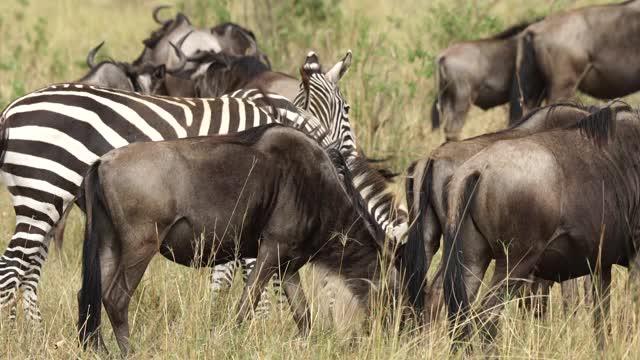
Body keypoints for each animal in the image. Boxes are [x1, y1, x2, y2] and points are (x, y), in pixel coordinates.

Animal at [0, 50, 352, 320]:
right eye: (348, 110)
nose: (345, 160)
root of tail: (10, 111)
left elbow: (228, 275)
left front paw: (218, 322)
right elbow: (256, 278)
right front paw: (259, 329)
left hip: (47, 198)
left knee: (29, 270)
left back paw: (33, 331)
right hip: (43, 187)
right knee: (11, 266)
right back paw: (15, 336)